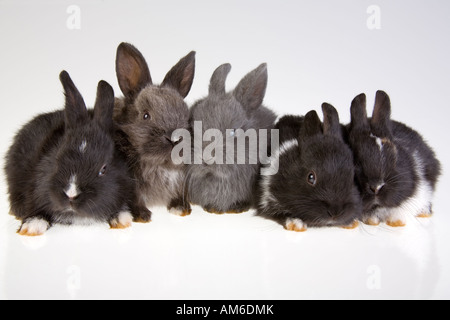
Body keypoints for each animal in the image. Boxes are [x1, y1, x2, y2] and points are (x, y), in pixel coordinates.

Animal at [113, 42, 194, 218]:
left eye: (186, 115)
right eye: (145, 115)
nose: (175, 139)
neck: (160, 163)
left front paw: (181, 208)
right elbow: (134, 198)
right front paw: (142, 216)